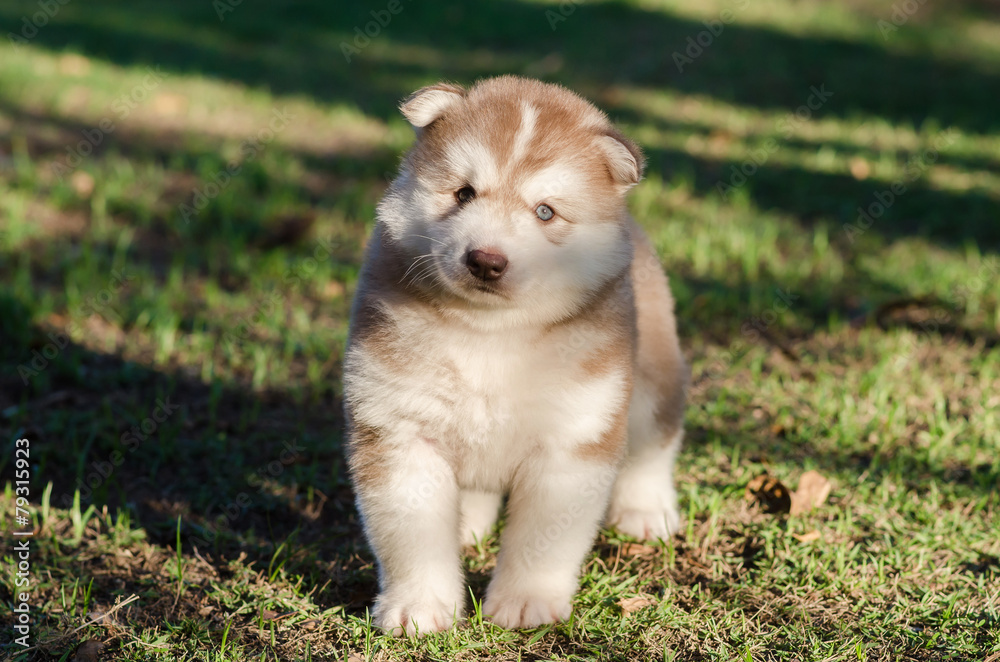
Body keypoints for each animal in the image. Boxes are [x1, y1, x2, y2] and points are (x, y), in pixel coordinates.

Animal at [344, 74, 688, 640]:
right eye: (463, 193)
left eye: (545, 211)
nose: (486, 260)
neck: (490, 335)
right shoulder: (399, 428)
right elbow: (413, 538)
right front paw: (419, 607)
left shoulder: (571, 440)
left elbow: (542, 542)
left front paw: (526, 603)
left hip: (653, 378)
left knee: (652, 446)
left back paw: (644, 511)